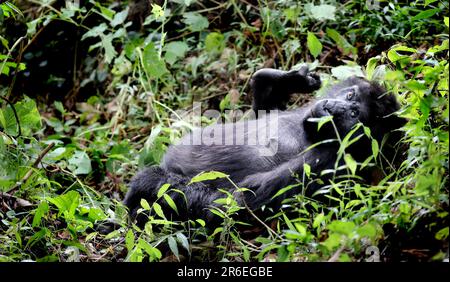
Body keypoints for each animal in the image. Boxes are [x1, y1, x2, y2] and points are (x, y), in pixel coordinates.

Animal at [125, 65, 406, 225]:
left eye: (355, 115)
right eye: (349, 96)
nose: (334, 109)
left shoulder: (324, 161)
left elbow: (232, 203)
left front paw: (149, 184)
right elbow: (263, 109)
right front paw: (285, 80)